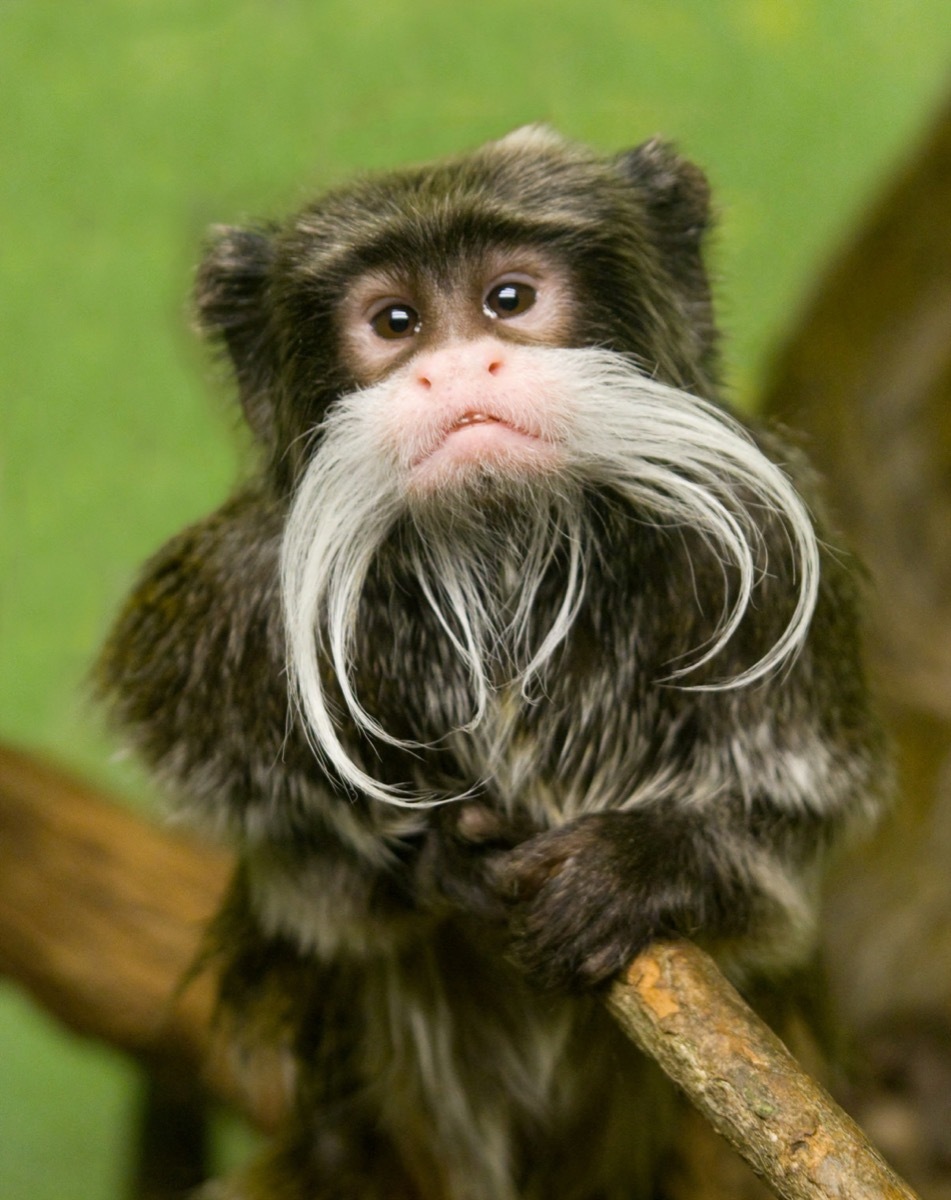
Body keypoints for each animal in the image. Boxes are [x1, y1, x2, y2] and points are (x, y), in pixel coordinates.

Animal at [96, 127, 887, 1199]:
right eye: (394, 321)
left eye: (507, 298)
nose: (462, 367)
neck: (501, 559)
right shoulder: (239, 594)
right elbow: (280, 845)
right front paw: (429, 860)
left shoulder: (767, 541)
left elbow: (794, 829)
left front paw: (639, 870)